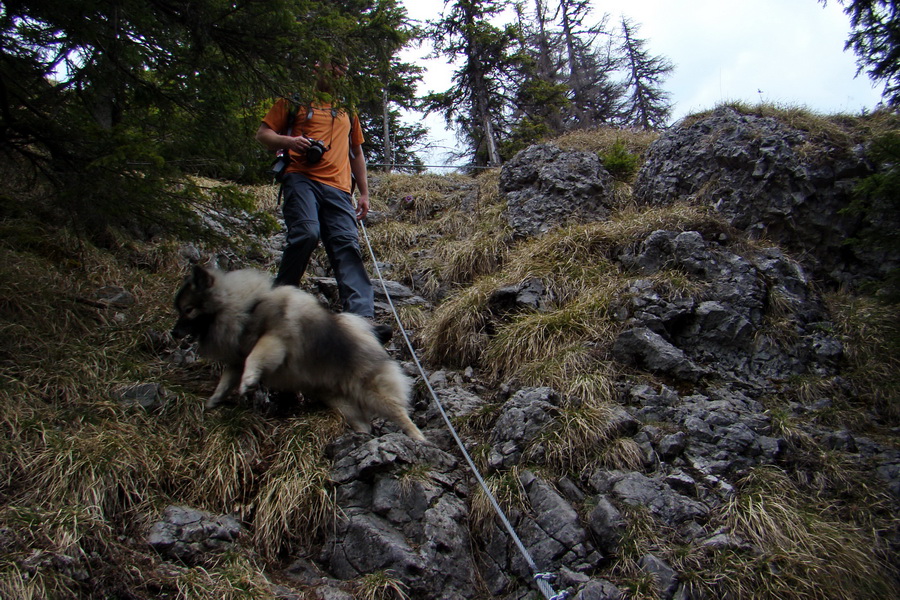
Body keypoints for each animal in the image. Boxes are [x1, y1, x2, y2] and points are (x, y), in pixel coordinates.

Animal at [172, 268, 426, 440]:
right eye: (180, 310)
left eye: (188, 310)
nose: (173, 332)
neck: (245, 308)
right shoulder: (236, 360)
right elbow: (226, 380)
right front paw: (214, 400)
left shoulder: (274, 340)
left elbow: (256, 357)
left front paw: (249, 380)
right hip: (340, 401)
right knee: (362, 422)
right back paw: (361, 438)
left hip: (372, 392)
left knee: (399, 412)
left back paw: (418, 438)